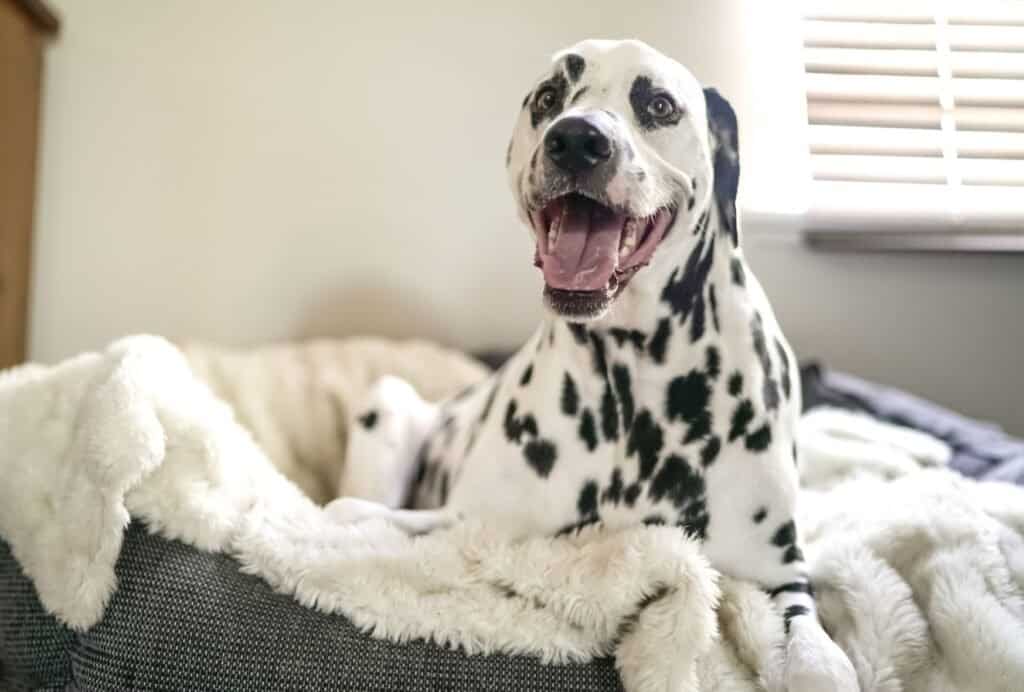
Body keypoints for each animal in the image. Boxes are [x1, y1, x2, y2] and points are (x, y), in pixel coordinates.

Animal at [331, 40, 860, 692]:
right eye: (549, 97)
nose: (577, 139)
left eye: (659, 104)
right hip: (387, 402)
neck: (637, 381)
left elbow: (815, 651)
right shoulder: (468, 527)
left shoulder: (778, 575)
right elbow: (366, 519)